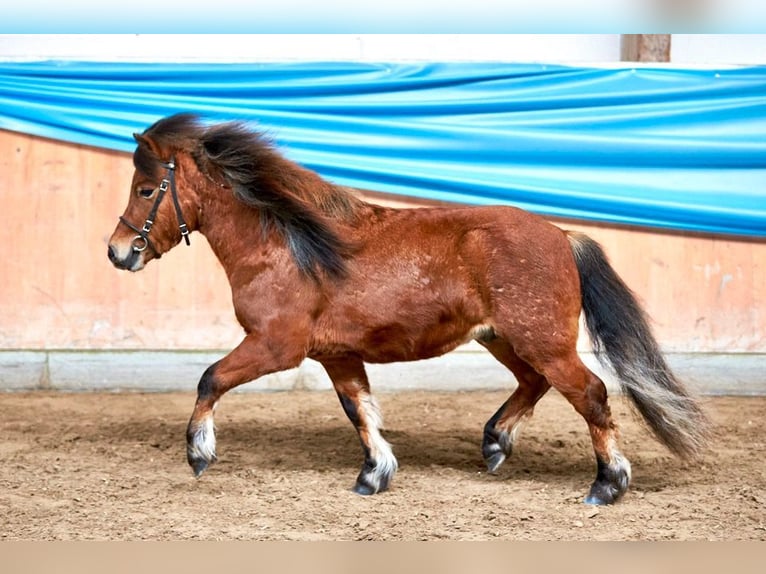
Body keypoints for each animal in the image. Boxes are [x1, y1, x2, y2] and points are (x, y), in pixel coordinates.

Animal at [109, 115, 712, 506]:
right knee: (535, 384)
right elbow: (360, 411)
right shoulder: (337, 356)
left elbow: (210, 378)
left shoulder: (275, 346)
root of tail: (563, 236)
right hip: (503, 338)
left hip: (542, 340)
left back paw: (606, 484)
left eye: (146, 189)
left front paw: (198, 454)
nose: (118, 252)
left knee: (590, 394)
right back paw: (495, 443)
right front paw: (374, 475)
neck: (287, 245)